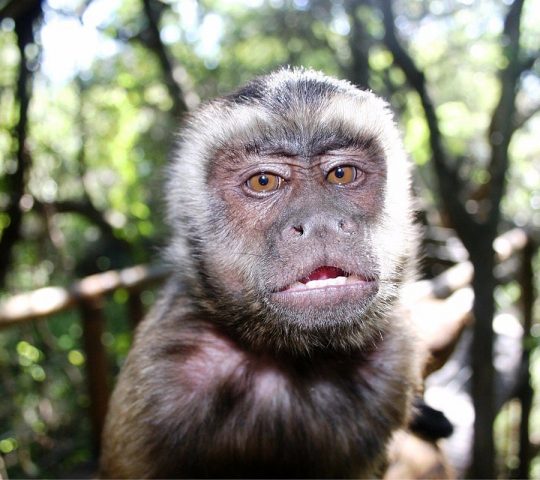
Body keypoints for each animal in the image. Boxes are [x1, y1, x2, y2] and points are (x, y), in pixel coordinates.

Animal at [99, 68, 424, 480]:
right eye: (264, 181)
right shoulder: (162, 378)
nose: (319, 222)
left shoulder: (396, 360)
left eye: (342, 173)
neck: (297, 360)